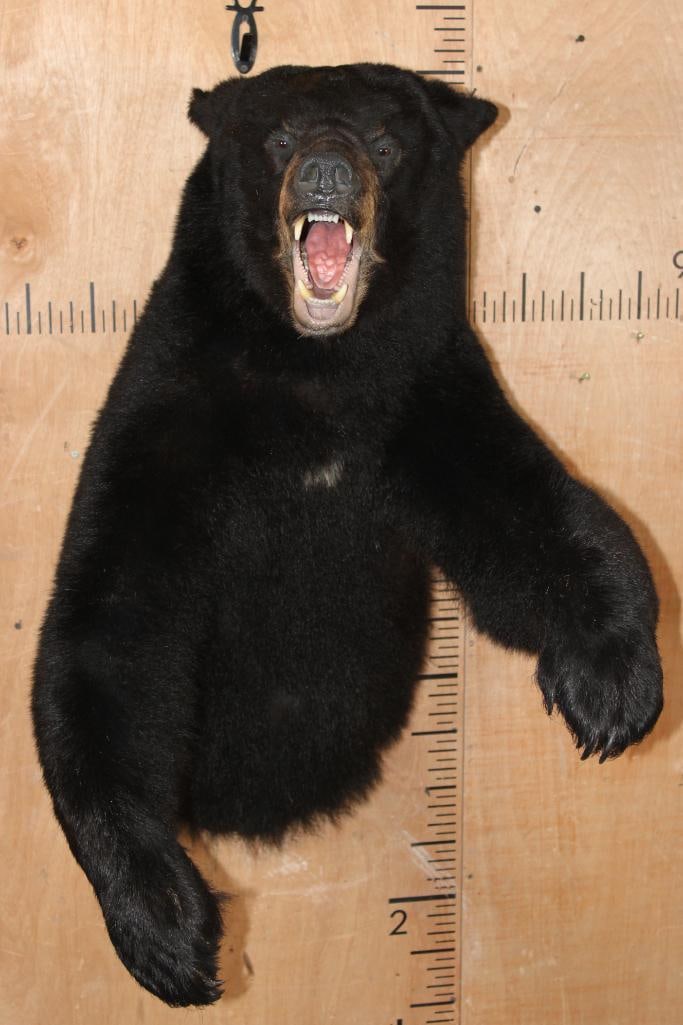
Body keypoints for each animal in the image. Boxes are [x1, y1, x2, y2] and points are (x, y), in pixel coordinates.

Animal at [32, 63, 663, 1007]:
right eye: (280, 137)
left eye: (384, 143)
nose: (327, 171)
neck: (316, 379)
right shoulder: (165, 416)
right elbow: (105, 629)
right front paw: (165, 921)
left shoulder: (420, 396)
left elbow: (534, 516)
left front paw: (613, 681)